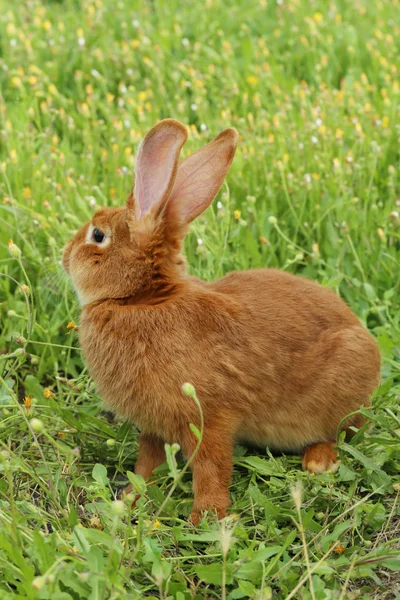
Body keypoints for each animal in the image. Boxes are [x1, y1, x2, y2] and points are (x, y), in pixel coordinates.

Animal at [61, 117, 380, 520]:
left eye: (98, 235)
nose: (64, 255)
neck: (142, 300)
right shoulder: (155, 427)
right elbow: (147, 463)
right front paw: (130, 499)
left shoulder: (209, 418)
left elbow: (211, 466)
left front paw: (206, 517)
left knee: (344, 432)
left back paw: (318, 461)